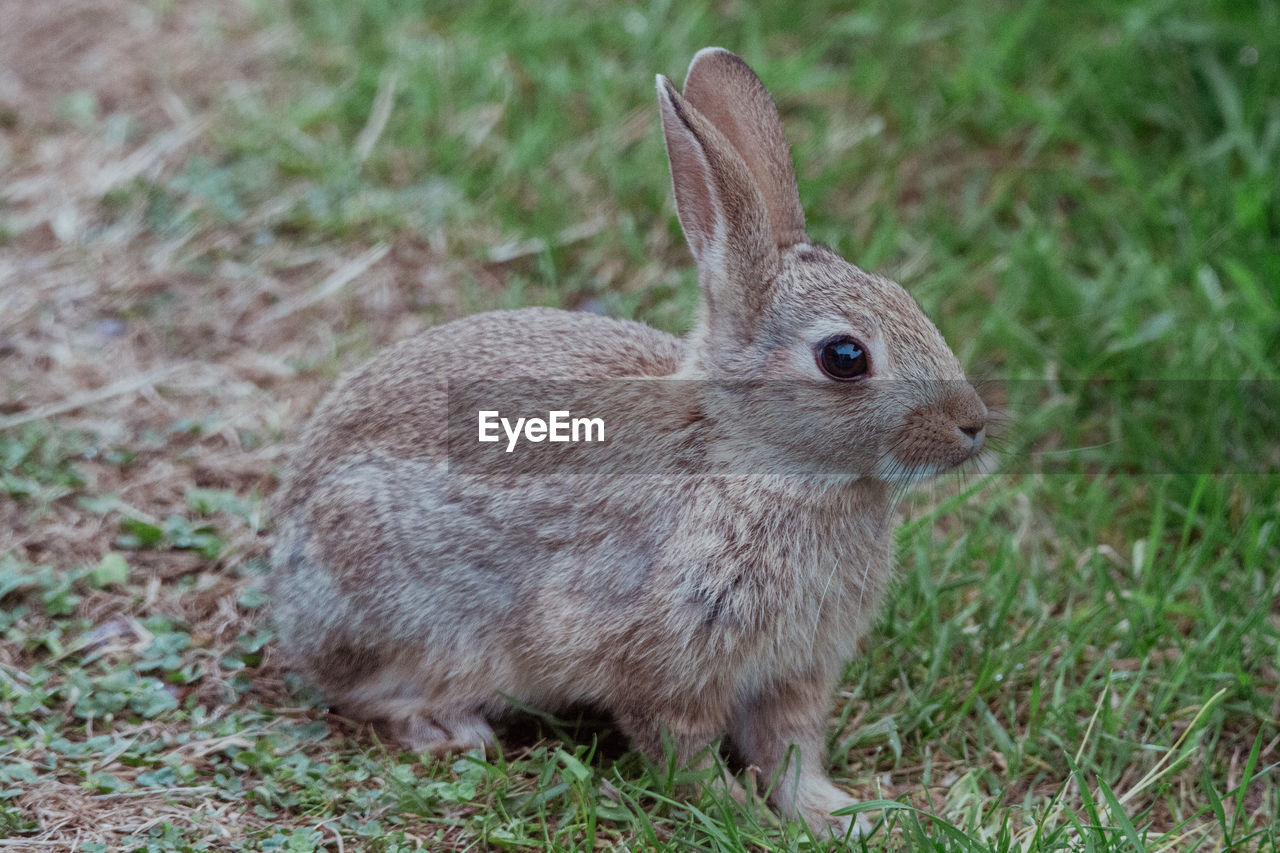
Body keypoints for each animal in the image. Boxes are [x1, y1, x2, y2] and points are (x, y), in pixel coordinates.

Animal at [270, 48, 988, 835]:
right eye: (845, 356)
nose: (973, 424)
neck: (752, 462)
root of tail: (285, 561)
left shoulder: (793, 672)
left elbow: (791, 751)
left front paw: (843, 815)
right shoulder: (659, 659)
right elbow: (685, 749)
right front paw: (740, 813)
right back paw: (450, 727)